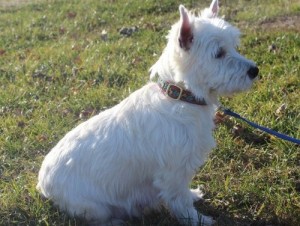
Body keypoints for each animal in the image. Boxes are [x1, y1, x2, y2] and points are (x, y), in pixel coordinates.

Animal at [37, 0, 258, 225]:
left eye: (234, 46)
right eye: (218, 53)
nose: (254, 71)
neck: (179, 96)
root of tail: (43, 184)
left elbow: (184, 194)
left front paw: (194, 195)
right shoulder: (173, 172)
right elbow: (180, 201)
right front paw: (198, 220)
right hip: (92, 207)